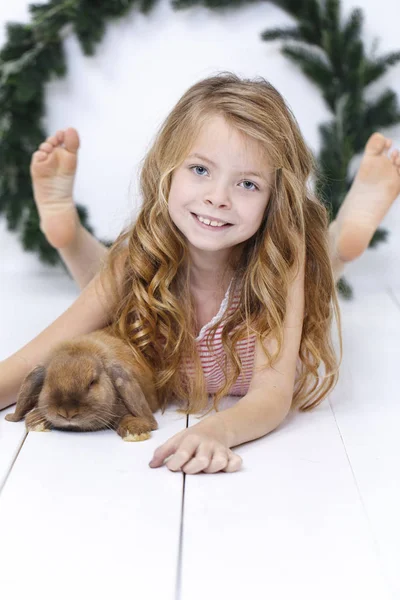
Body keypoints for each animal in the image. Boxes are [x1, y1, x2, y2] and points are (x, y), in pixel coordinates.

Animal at [5, 326, 159, 442]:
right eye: (48, 382)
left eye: (92, 382)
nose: (67, 412)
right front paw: (36, 420)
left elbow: (127, 417)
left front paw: (136, 432)